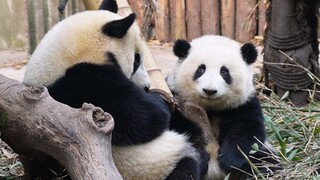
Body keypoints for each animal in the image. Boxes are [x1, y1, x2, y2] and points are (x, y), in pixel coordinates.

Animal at [22, 1, 208, 179]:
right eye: (136, 60)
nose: (146, 86)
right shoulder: (86, 83)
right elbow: (145, 118)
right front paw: (158, 100)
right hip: (158, 165)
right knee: (188, 165)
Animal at [166, 34, 282, 179]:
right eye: (201, 69)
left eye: (224, 71)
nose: (209, 90)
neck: (210, 108)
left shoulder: (243, 104)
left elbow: (246, 130)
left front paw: (230, 161)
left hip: (262, 153)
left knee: (266, 161)